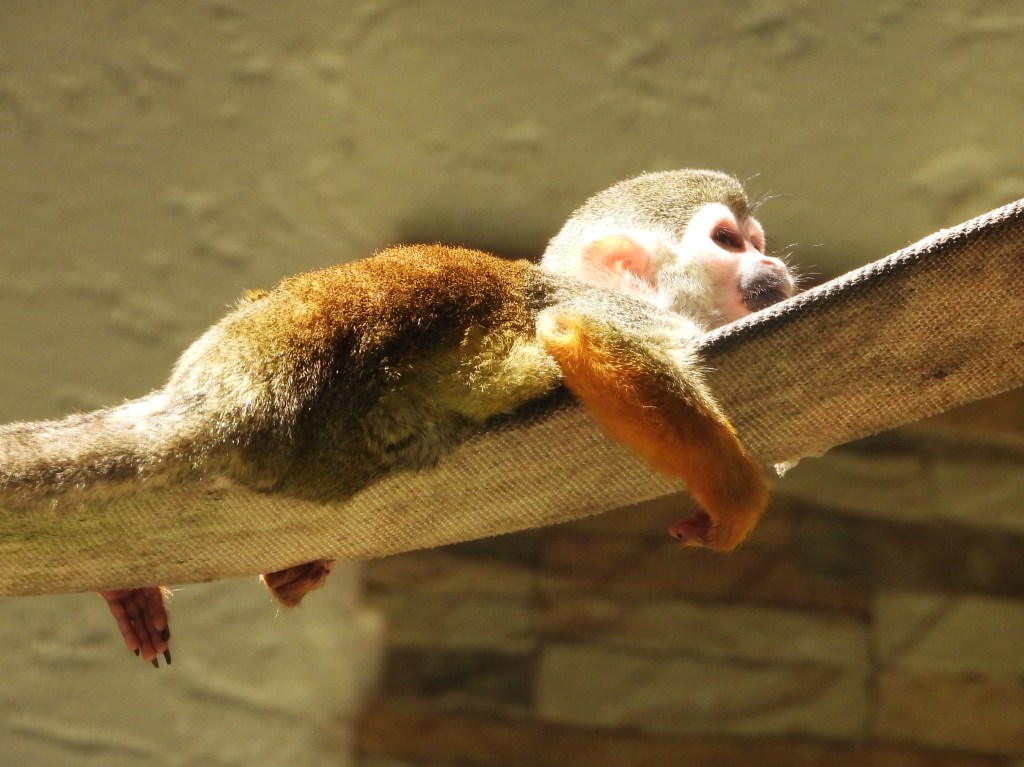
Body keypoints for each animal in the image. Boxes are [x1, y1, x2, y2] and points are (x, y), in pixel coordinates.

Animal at [0, 169, 796, 666]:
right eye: (730, 242)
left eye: (758, 244)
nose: (776, 269)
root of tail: (229, 391)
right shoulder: (616, 311)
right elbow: (577, 332)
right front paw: (734, 490)